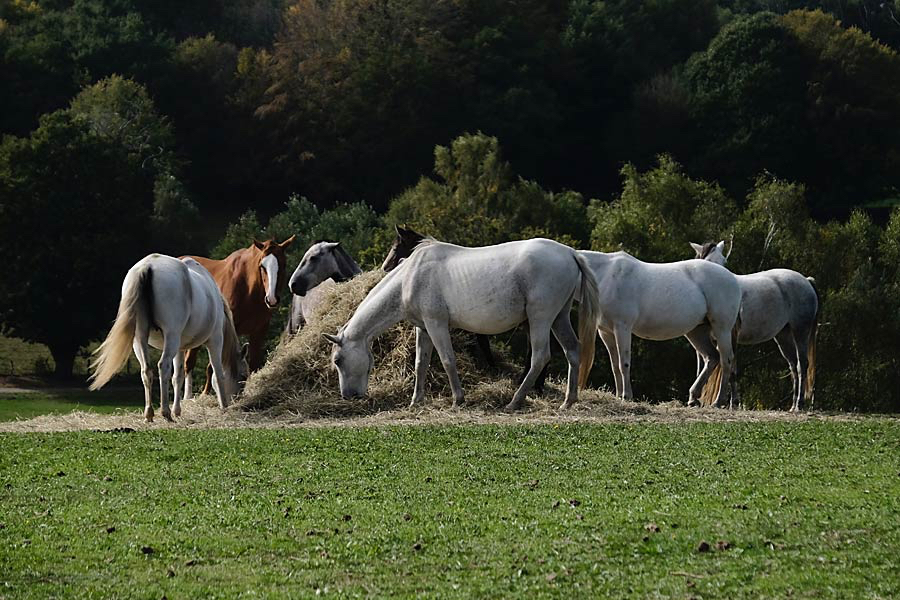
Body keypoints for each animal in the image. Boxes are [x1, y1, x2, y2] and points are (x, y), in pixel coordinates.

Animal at [90, 253, 248, 422]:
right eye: (244, 375)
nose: (237, 400)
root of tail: (148, 265)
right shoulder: (215, 340)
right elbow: (218, 374)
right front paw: (224, 407)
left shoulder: (179, 348)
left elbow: (177, 377)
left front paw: (177, 411)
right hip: (171, 337)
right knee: (163, 366)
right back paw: (165, 412)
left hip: (141, 339)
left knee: (146, 370)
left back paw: (149, 414)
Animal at [181, 236, 294, 398]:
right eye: (262, 266)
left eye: (283, 264)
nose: (272, 299)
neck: (248, 291)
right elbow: (212, 366)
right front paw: (207, 394)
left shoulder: (259, 330)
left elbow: (253, 363)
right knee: (188, 362)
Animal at [320, 237, 600, 410]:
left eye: (338, 361)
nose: (348, 396)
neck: (410, 277)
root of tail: (570, 253)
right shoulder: (423, 328)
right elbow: (421, 363)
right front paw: (415, 401)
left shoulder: (436, 324)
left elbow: (447, 360)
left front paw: (458, 399)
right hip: (559, 318)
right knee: (573, 350)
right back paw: (568, 401)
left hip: (540, 318)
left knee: (540, 357)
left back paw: (514, 401)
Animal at [580, 248, 740, 408]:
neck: (607, 274)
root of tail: (734, 279)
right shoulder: (606, 332)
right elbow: (615, 366)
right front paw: (619, 396)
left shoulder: (622, 328)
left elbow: (624, 363)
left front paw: (626, 396)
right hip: (697, 331)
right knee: (712, 357)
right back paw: (694, 397)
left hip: (722, 329)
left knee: (726, 361)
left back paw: (718, 402)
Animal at [688, 241, 824, 410]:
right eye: (708, 261)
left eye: (724, 262)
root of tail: (806, 280)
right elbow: (703, 367)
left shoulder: (730, 337)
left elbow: (731, 368)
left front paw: (732, 402)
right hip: (783, 336)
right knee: (793, 365)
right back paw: (793, 405)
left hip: (801, 330)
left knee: (802, 364)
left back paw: (799, 403)